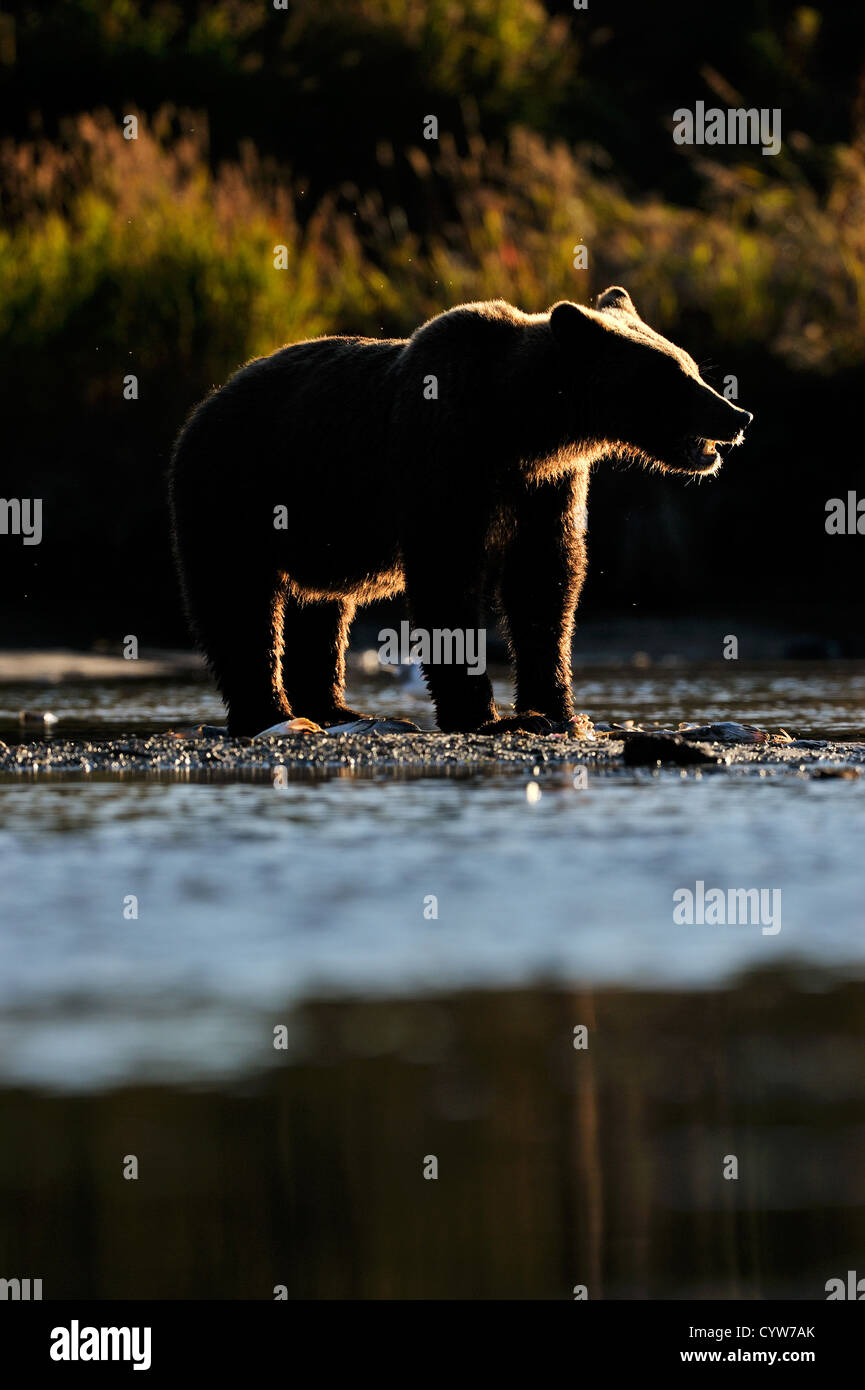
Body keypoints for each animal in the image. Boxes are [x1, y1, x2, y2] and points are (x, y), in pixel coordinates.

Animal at [167, 286, 750, 733]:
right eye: (676, 377)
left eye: (692, 366)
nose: (737, 413)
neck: (520, 424)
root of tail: (201, 408)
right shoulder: (442, 459)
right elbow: (446, 577)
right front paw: (484, 715)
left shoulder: (546, 485)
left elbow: (545, 579)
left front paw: (557, 711)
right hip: (233, 489)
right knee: (237, 600)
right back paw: (268, 713)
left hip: (318, 520)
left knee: (324, 609)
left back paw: (335, 709)